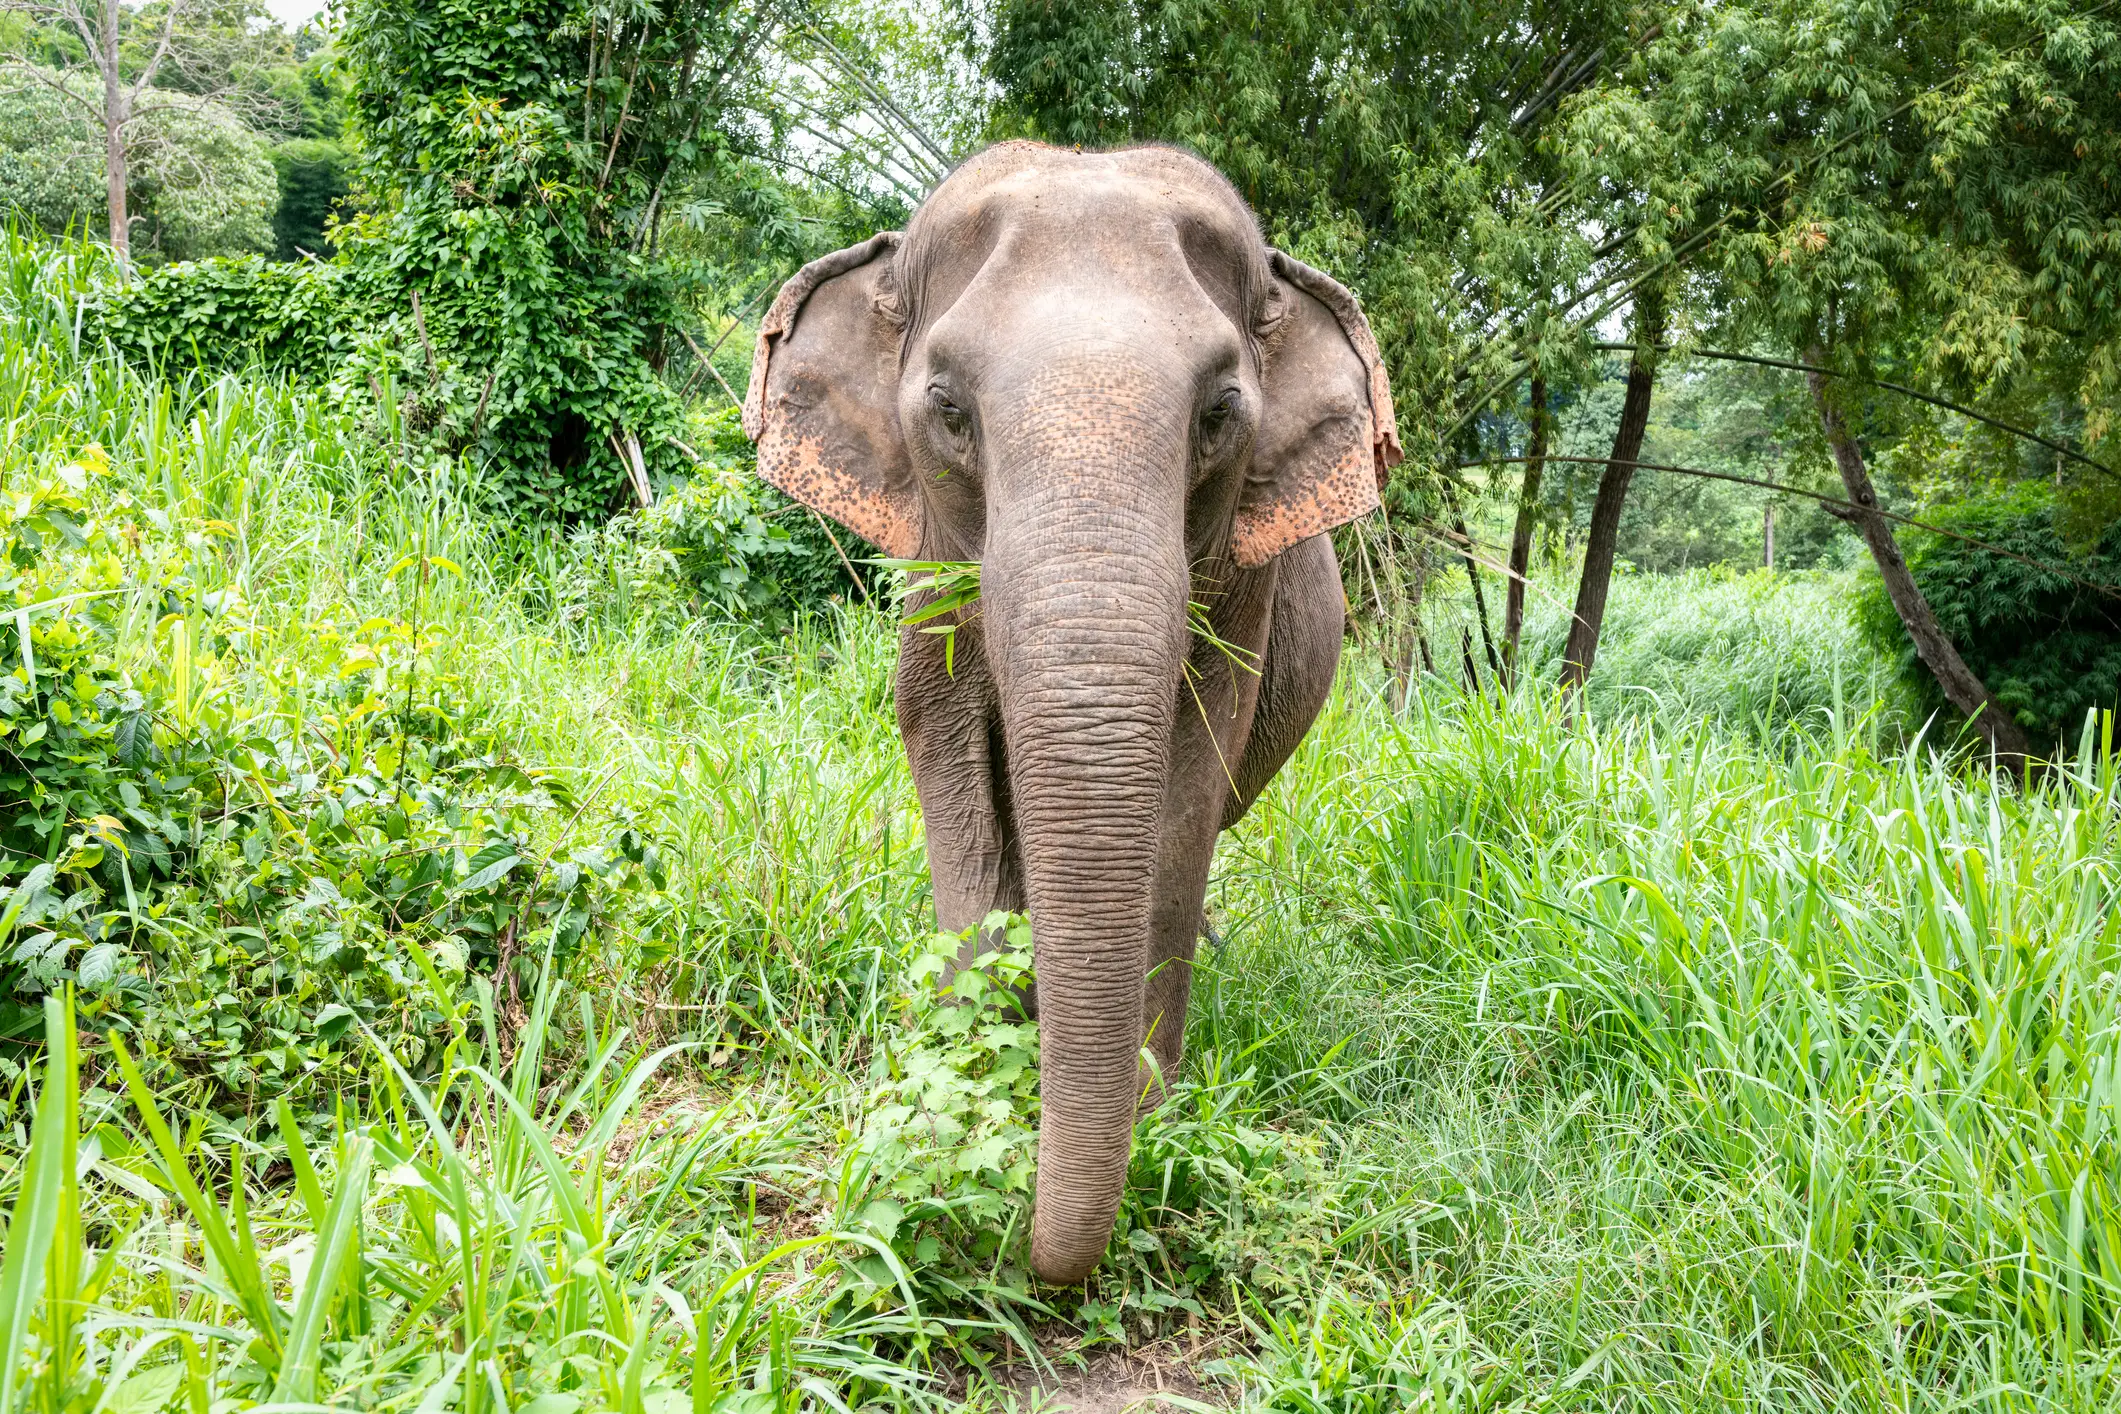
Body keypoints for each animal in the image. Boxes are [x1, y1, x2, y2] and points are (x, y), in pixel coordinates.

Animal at [742, 141, 1400, 1283]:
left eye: (1220, 411)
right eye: (949, 409)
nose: (1024, 1241)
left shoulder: (1242, 587)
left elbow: (1188, 778)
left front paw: (1151, 1107)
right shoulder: (931, 563)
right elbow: (943, 744)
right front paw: (978, 1084)